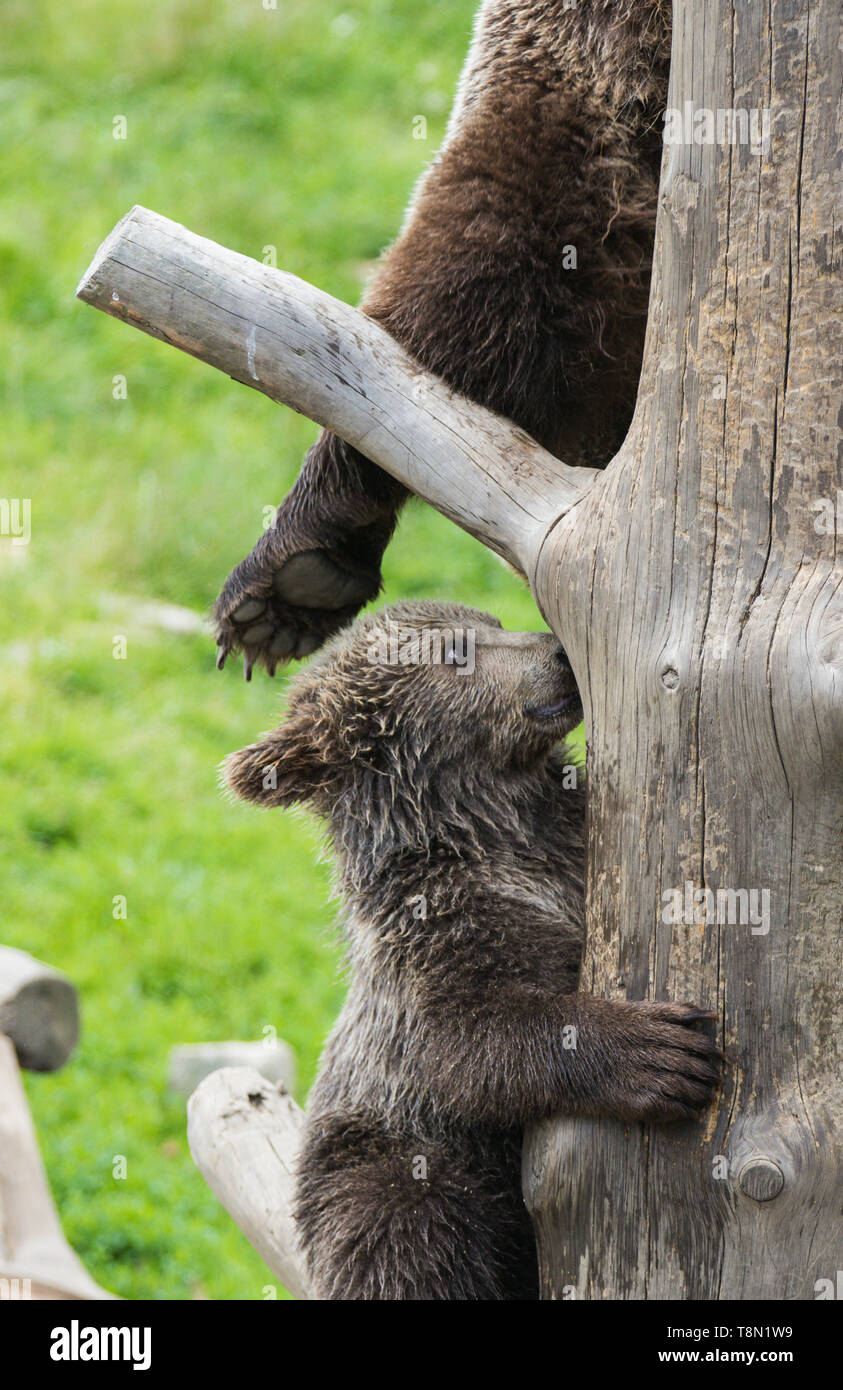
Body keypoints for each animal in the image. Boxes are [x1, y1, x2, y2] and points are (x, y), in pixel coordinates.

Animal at [224, 600, 720, 1300]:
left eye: (493, 622)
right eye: (456, 651)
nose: (558, 652)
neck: (497, 829)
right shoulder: (431, 939)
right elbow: (463, 1041)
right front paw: (660, 1052)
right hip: (377, 1156)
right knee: (409, 1231)